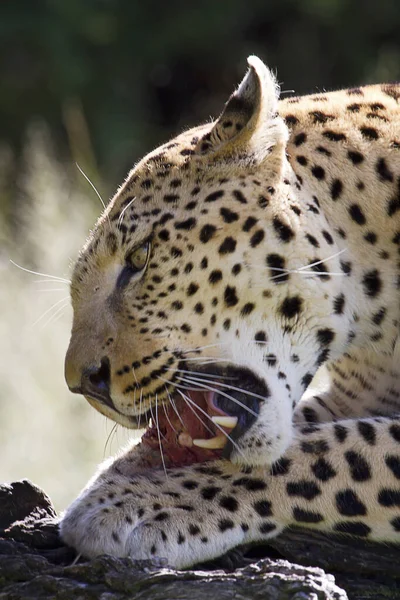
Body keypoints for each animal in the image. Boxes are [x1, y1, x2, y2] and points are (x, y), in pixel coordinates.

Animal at [59, 55, 400, 568]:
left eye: (139, 258)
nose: (82, 384)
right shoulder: (358, 394)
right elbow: (312, 431)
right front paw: (125, 474)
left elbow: (335, 450)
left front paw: (134, 501)